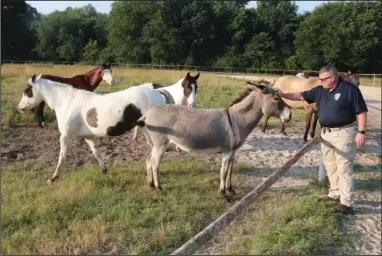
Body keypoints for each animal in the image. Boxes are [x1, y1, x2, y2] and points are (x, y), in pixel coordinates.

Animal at [17, 73, 165, 182]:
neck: (66, 101)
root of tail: (159, 93)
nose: (19, 108)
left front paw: (53, 178)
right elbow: (96, 152)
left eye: (27, 91)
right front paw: (104, 170)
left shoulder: (66, 136)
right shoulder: (87, 136)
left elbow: (62, 156)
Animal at [136, 82, 290, 198]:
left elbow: (229, 171)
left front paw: (230, 189)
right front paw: (223, 194)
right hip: (161, 146)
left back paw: (151, 185)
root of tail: (148, 113)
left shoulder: (233, 152)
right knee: (155, 164)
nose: (290, 115)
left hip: (155, 145)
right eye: (276, 98)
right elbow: (223, 172)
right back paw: (159, 188)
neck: (237, 119)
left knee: (148, 160)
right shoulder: (227, 151)